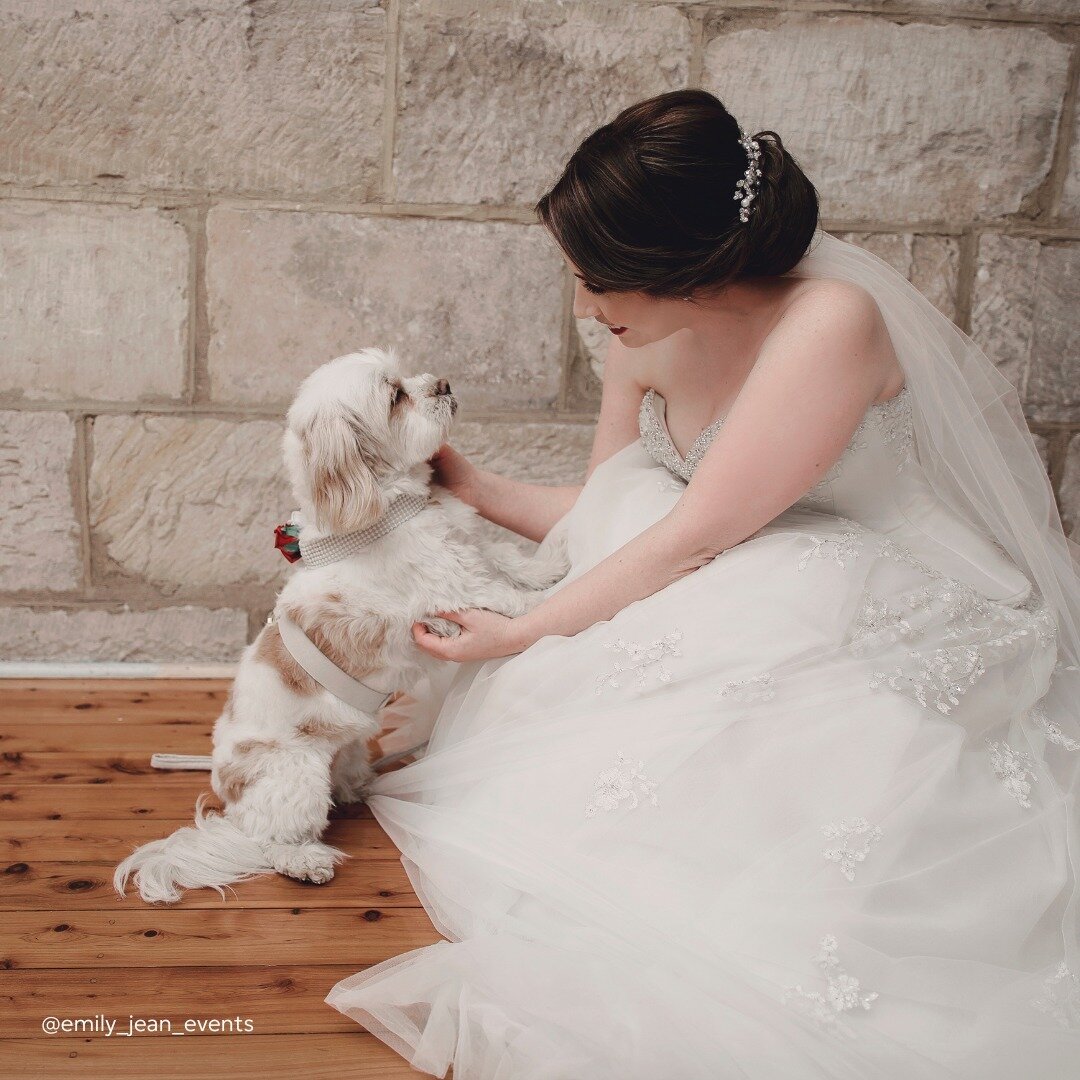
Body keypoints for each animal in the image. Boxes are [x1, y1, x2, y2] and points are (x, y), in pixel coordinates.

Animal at [113, 347, 574, 902]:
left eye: (407, 373)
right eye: (395, 396)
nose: (442, 383)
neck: (393, 505)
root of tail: (230, 797)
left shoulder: (468, 552)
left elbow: (504, 558)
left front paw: (550, 567)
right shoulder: (454, 590)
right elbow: (509, 597)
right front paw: (557, 597)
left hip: (348, 752)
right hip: (296, 777)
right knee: (270, 842)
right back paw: (305, 860)